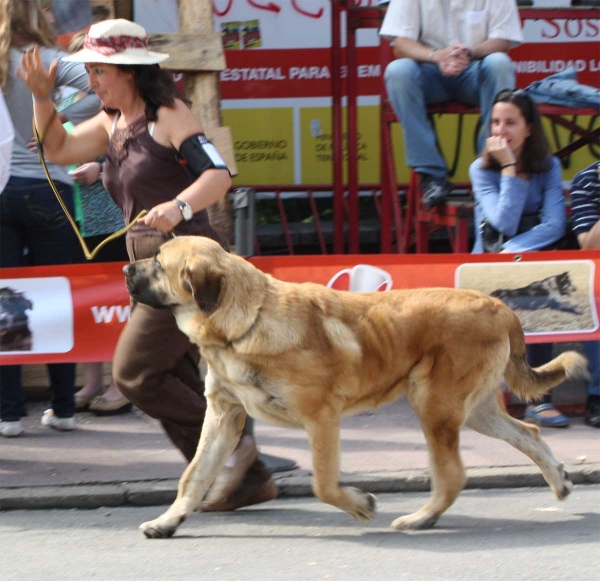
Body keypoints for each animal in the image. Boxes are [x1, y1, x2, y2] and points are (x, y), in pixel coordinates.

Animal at [124, 236, 588, 540]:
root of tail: (499, 306)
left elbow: (323, 484)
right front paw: (169, 520)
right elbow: (194, 475)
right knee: (527, 434)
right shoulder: (223, 416)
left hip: (435, 405)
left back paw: (421, 519)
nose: (126, 268)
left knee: (452, 474)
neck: (246, 320)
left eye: (159, 263)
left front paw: (360, 504)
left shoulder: (321, 418)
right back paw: (559, 481)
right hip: (473, 410)